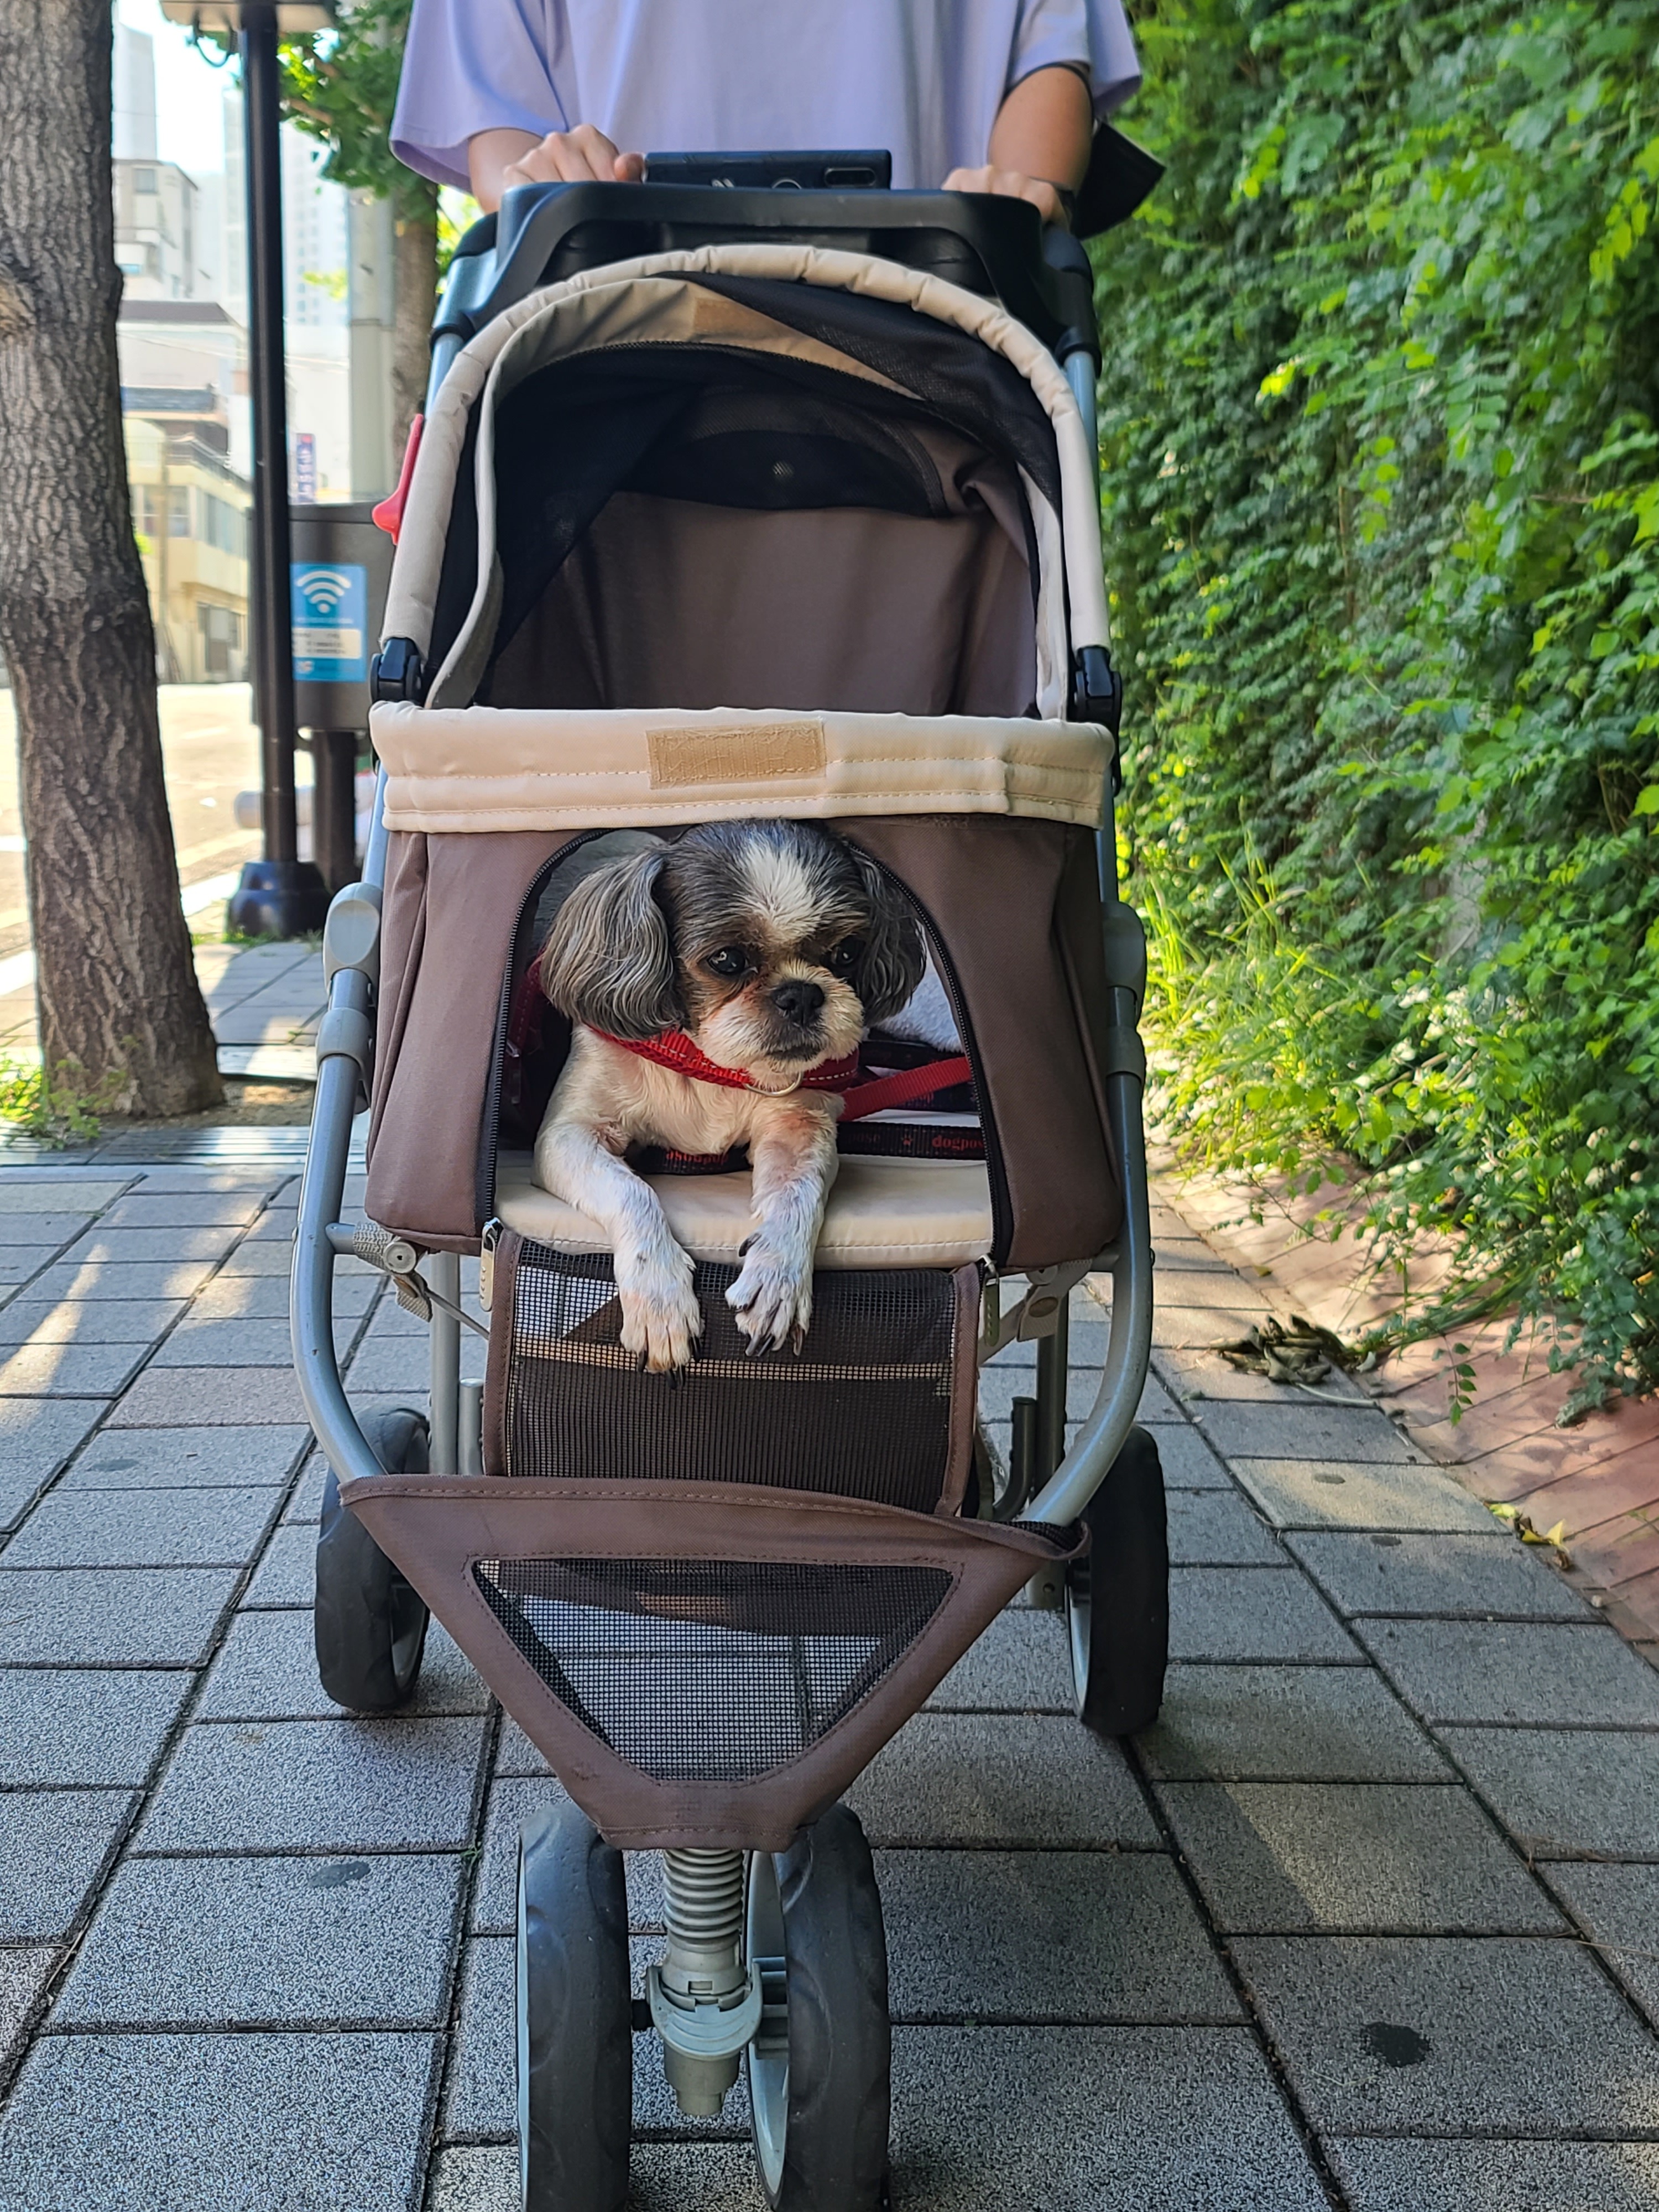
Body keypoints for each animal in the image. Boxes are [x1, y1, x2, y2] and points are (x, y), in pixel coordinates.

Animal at [533, 819, 927, 1370]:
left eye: (848, 953)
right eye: (727, 959)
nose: (801, 993)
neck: (709, 1062)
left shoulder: (799, 1124)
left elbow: (798, 1193)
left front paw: (778, 1279)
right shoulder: (570, 1135)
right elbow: (631, 1191)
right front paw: (659, 1298)